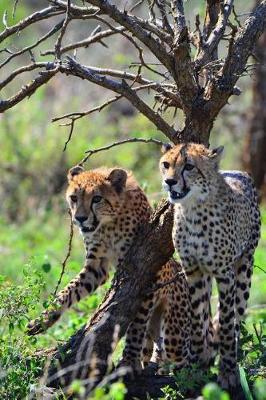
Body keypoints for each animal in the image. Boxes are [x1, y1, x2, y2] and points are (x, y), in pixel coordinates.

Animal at [27, 166, 191, 372]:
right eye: (74, 198)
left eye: (97, 198)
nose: (80, 218)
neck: (108, 224)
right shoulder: (97, 267)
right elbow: (68, 291)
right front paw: (43, 319)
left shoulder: (146, 272)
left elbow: (136, 324)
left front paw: (129, 360)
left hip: (174, 333)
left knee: (186, 362)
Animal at [159, 143, 260, 388]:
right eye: (166, 164)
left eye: (188, 166)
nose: (169, 181)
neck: (193, 209)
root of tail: (238, 172)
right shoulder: (193, 270)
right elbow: (197, 319)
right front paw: (195, 365)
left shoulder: (224, 273)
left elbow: (226, 322)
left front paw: (228, 371)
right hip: (206, 275)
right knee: (206, 315)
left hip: (245, 265)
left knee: (237, 315)